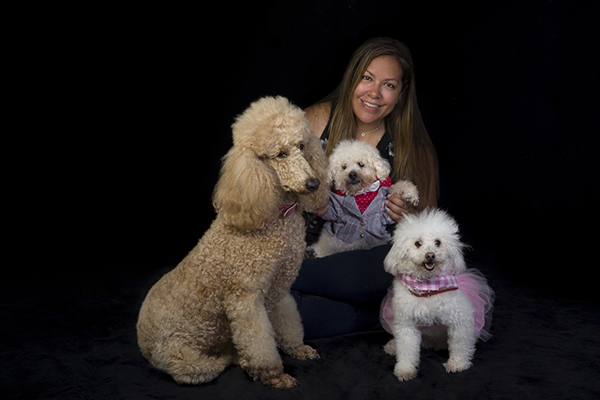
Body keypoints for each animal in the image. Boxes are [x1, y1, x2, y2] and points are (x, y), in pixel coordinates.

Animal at [136, 96, 330, 389]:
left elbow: (289, 323)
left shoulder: (279, 288)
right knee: (200, 368)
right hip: (183, 359)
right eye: (280, 155)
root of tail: (141, 340)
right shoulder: (245, 298)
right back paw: (230, 358)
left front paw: (297, 348)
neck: (276, 216)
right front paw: (273, 375)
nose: (313, 183)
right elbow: (258, 343)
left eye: (301, 146)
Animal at [379, 208, 494, 381]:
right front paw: (405, 369)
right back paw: (393, 346)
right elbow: (406, 349)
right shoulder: (406, 325)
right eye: (418, 243)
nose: (430, 255)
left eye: (438, 242)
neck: (428, 287)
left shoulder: (460, 320)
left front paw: (457, 364)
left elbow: (459, 345)